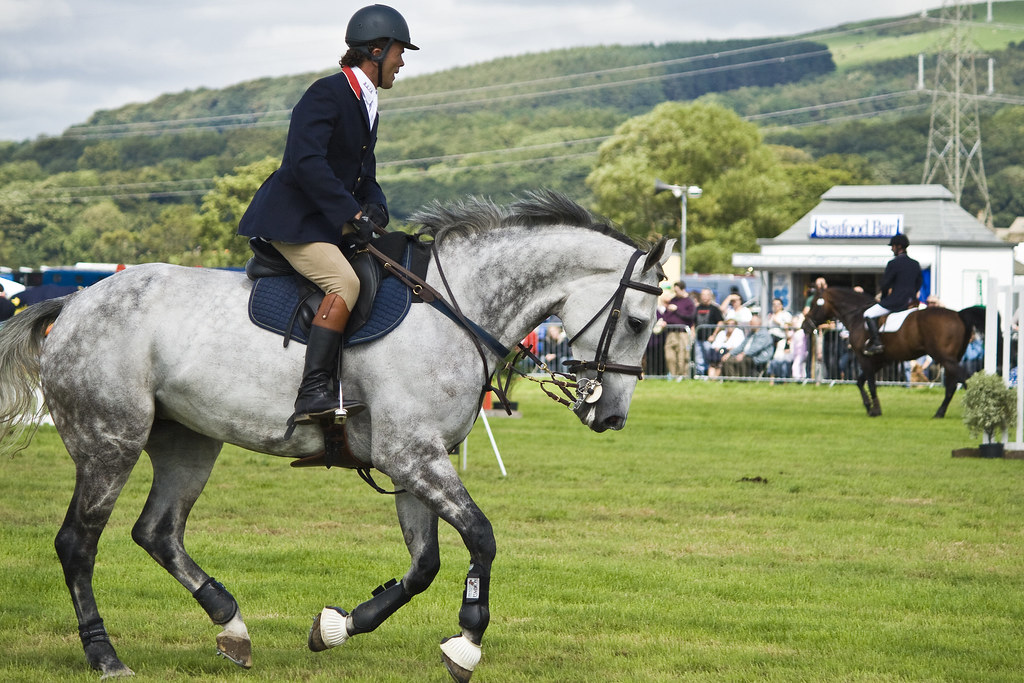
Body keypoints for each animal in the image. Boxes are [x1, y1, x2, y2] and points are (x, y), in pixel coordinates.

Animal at [0, 191, 672, 681]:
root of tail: (73, 303)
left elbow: (423, 565)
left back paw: (232, 627)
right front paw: (468, 641)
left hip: (188, 441)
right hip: (110, 442)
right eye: (640, 322)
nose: (611, 417)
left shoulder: (414, 462)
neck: (454, 309)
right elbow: (481, 536)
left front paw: (339, 625)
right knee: (78, 543)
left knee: (157, 532)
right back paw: (105, 655)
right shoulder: (414, 456)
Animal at [802, 287, 983, 418]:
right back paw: (940, 413)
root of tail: (958, 314)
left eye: (815, 304)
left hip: (945, 359)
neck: (858, 316)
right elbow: (860, 382)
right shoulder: (880, 361)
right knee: (952, 386)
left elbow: (871, 384)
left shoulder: (864, 358)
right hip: (951, 359)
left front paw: (875, 410)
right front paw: (868, 406)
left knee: (965, 380)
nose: (805, 327)